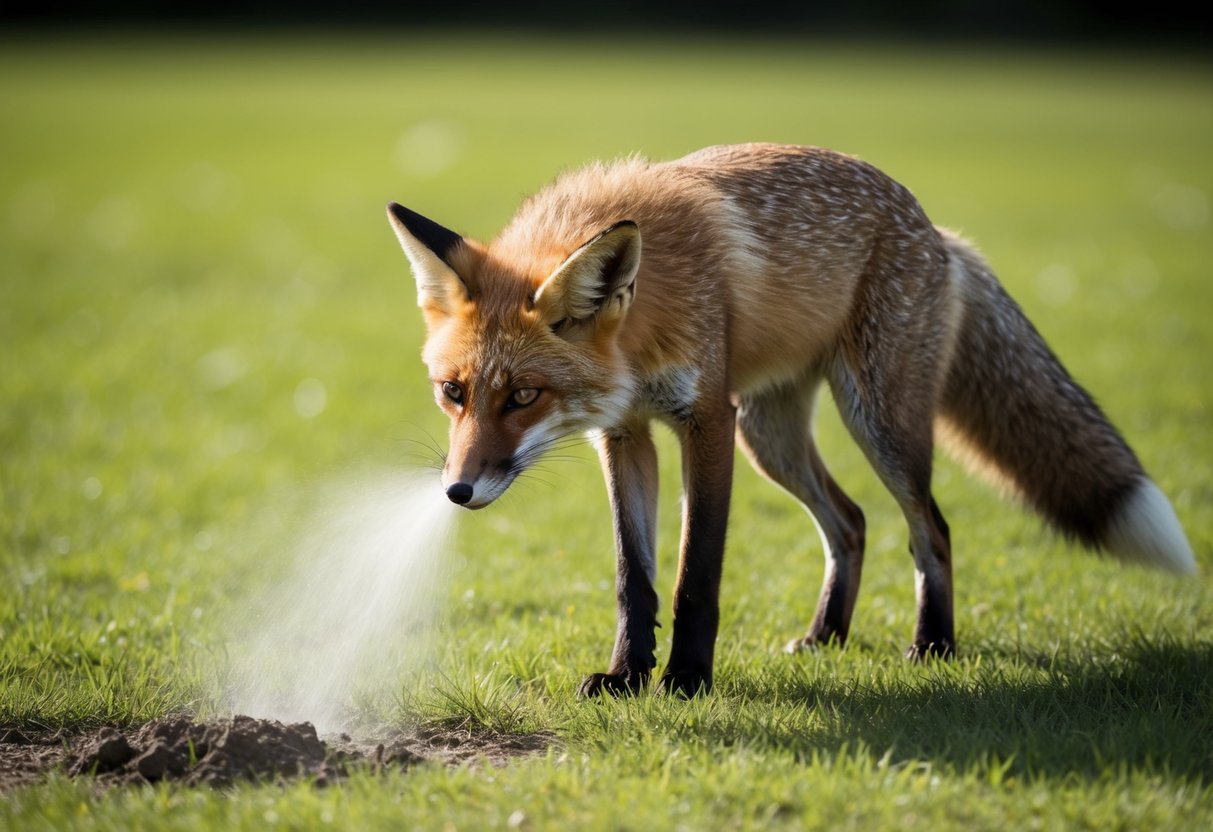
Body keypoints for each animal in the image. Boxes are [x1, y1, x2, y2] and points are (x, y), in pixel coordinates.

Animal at [386, 143, 1197, 698]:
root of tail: (937, 230)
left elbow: (694, 576)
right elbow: (632, 576)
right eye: (453, 393)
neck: (648, 318)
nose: (456, 492)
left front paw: (685, 681)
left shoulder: (705, 421)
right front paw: (625, 677)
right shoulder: (625, 433)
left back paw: (931, 644)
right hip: (771, 437)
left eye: (524, 396)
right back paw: (825, 635)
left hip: (876, 422)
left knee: (929, 529)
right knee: (851, 523)